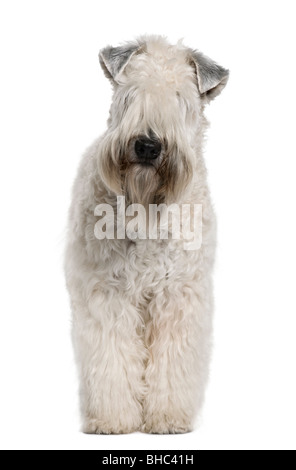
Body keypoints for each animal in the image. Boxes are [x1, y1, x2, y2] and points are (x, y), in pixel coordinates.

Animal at [65, 35, 229, 436]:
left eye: (180, 99)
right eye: (131, 93)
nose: (148, 145)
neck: (146, 210)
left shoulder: (178, 295)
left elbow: (172, 360)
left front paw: (168, 417)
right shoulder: (108, 294)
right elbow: (111, 358)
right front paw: (112, 419)